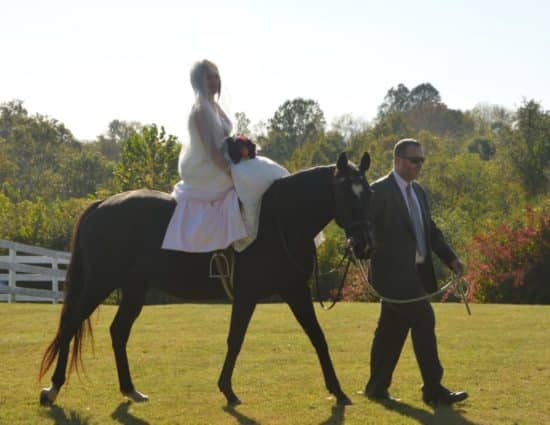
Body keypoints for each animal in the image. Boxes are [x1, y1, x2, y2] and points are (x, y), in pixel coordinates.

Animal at [38, 152, 376, 404]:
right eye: (348, 193)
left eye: (369, 193)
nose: (363, 245)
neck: (280, 219)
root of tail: (100, 205)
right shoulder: (250, 294)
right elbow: (236, 339)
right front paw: (227, 389)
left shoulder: (294, 290)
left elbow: (317, 336)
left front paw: (338, 390)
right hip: (100, 283)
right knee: (70, 325)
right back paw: (52, 389)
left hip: (134, 288)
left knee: (118, 331)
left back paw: (130, 389)